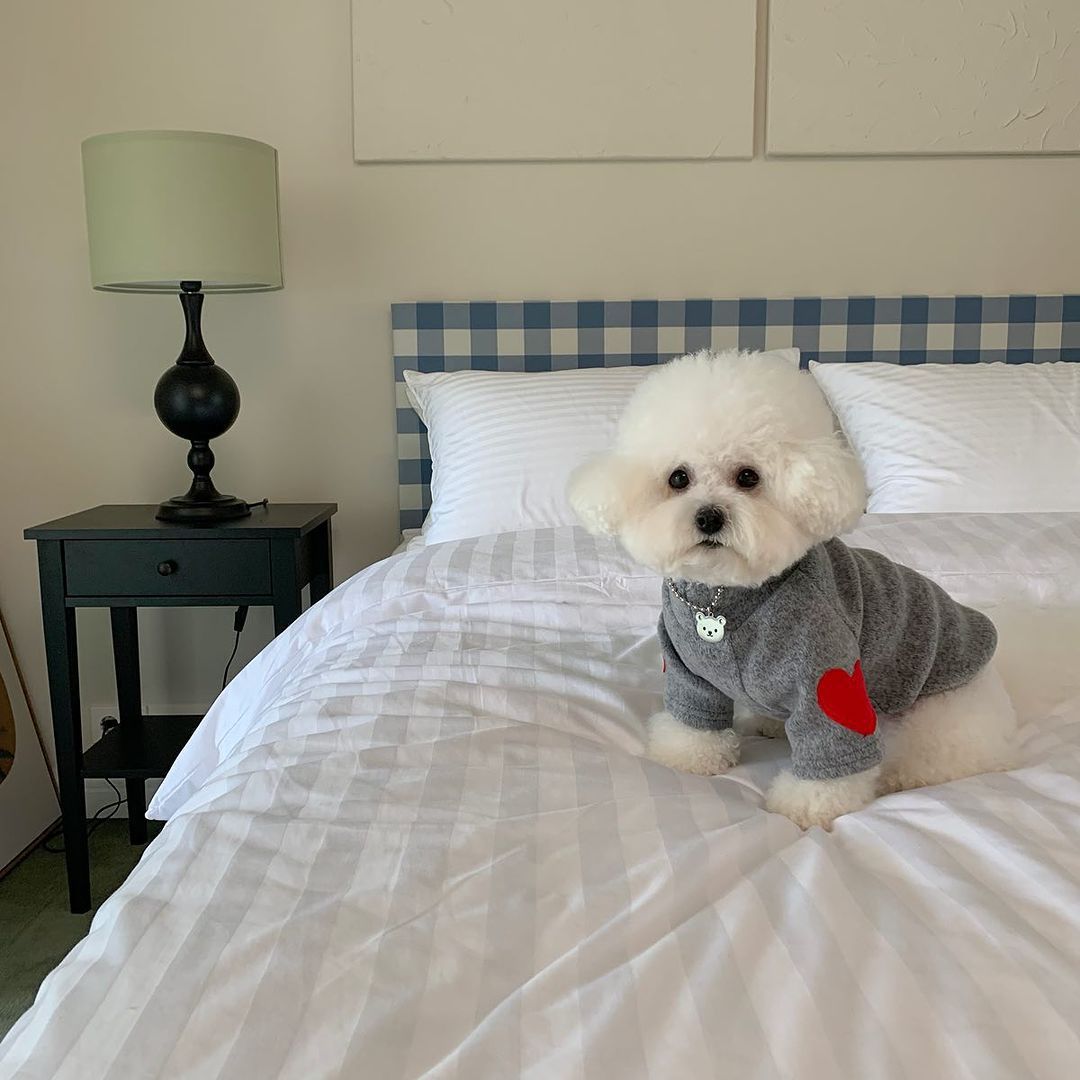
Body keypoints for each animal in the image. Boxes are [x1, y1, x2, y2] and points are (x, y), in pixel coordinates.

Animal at [568, 350, 1017, 829]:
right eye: (678, 478)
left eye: (748, 477)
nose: (708, 517)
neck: (723, 598)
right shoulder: (687, 667)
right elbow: (693, 721)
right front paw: (687, 756)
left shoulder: (828, 678)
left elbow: (829, 758)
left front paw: (807, 804)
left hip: (935, 717)